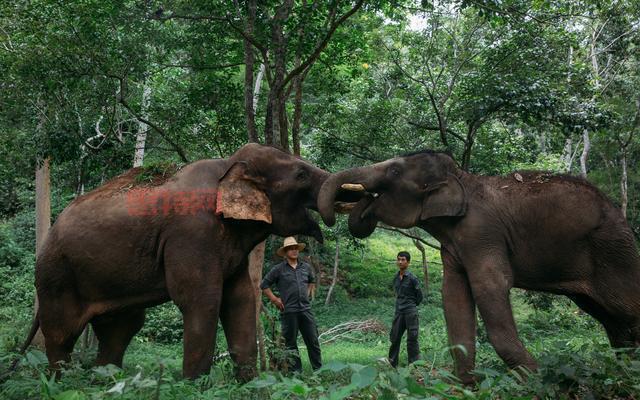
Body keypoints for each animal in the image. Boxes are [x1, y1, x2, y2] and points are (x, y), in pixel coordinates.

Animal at [20, 143, 331, 380]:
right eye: (301, 174)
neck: (228, 166)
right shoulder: (191, 234)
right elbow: (201, 300)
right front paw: (195, 386)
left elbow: (240, 299)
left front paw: (252, 386)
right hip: (57, 276)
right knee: (62, 334)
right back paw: (60, 382)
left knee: (121, 328)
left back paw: (105, 381)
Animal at [318, 149, 640, 384]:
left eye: (395, 172)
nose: (357, 202)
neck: (462, 177)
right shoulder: (454, 245)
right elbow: (453, 296)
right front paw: (465, 386)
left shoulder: (481, 233)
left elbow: (490, 287)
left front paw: (537, 381)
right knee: (609, 317)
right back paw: (624, 368)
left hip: (614, 251)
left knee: (624, 308)